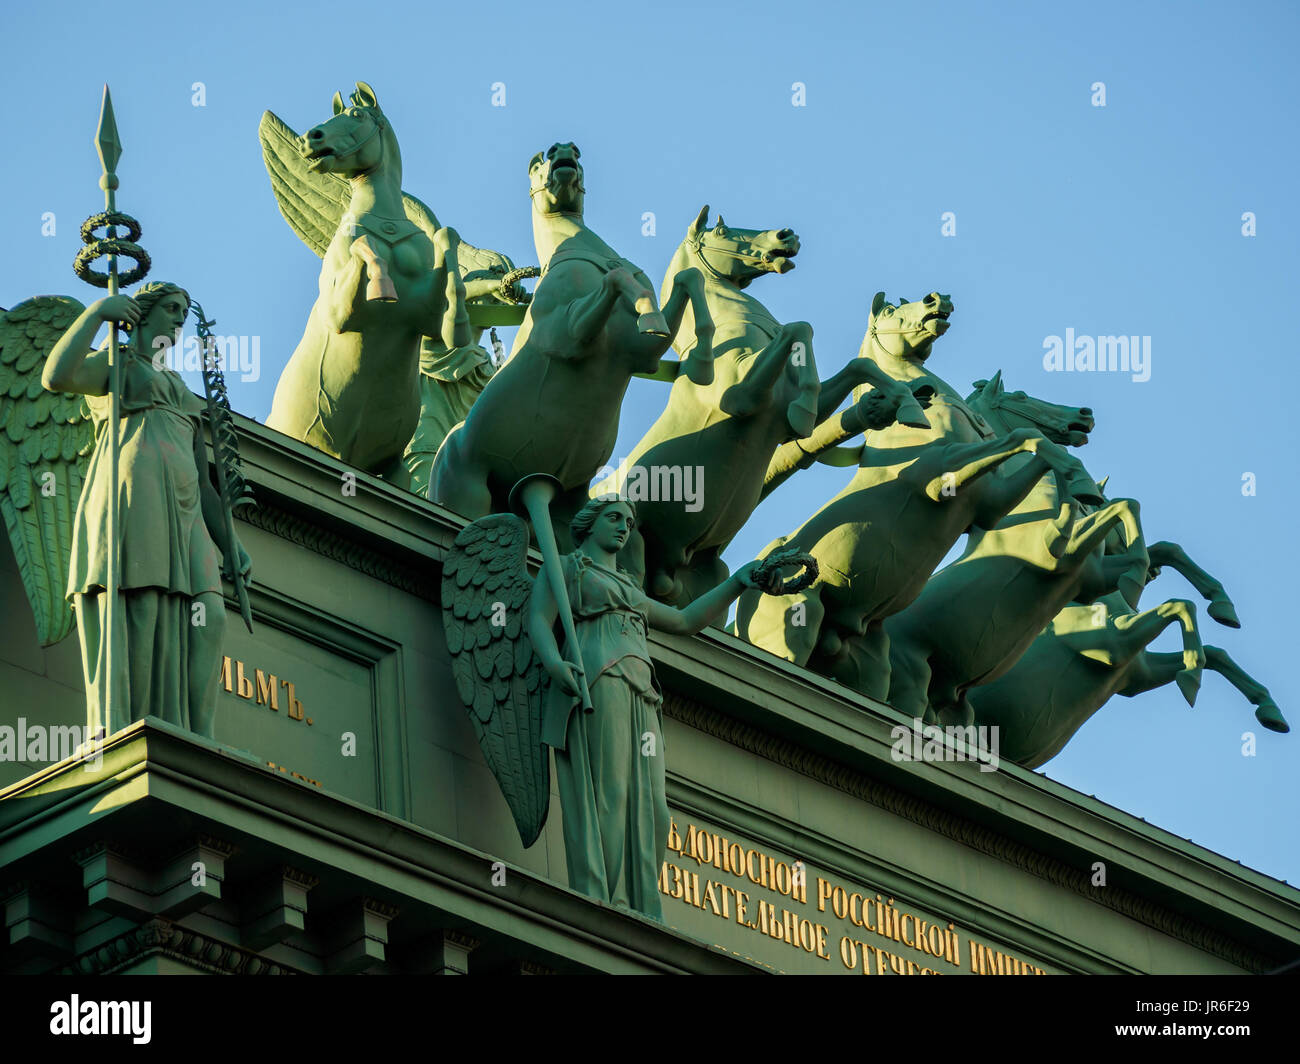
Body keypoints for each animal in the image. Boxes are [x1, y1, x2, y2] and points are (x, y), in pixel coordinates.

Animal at [267, 82, 467, 476]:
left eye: (357, 115)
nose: (309, 139)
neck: (385, 221)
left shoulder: (424, 316)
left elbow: (446, 239)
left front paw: (459, 321)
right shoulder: (339, 314)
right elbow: (363, 247)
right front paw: (381, 285)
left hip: (389, 464)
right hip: (325, 446)